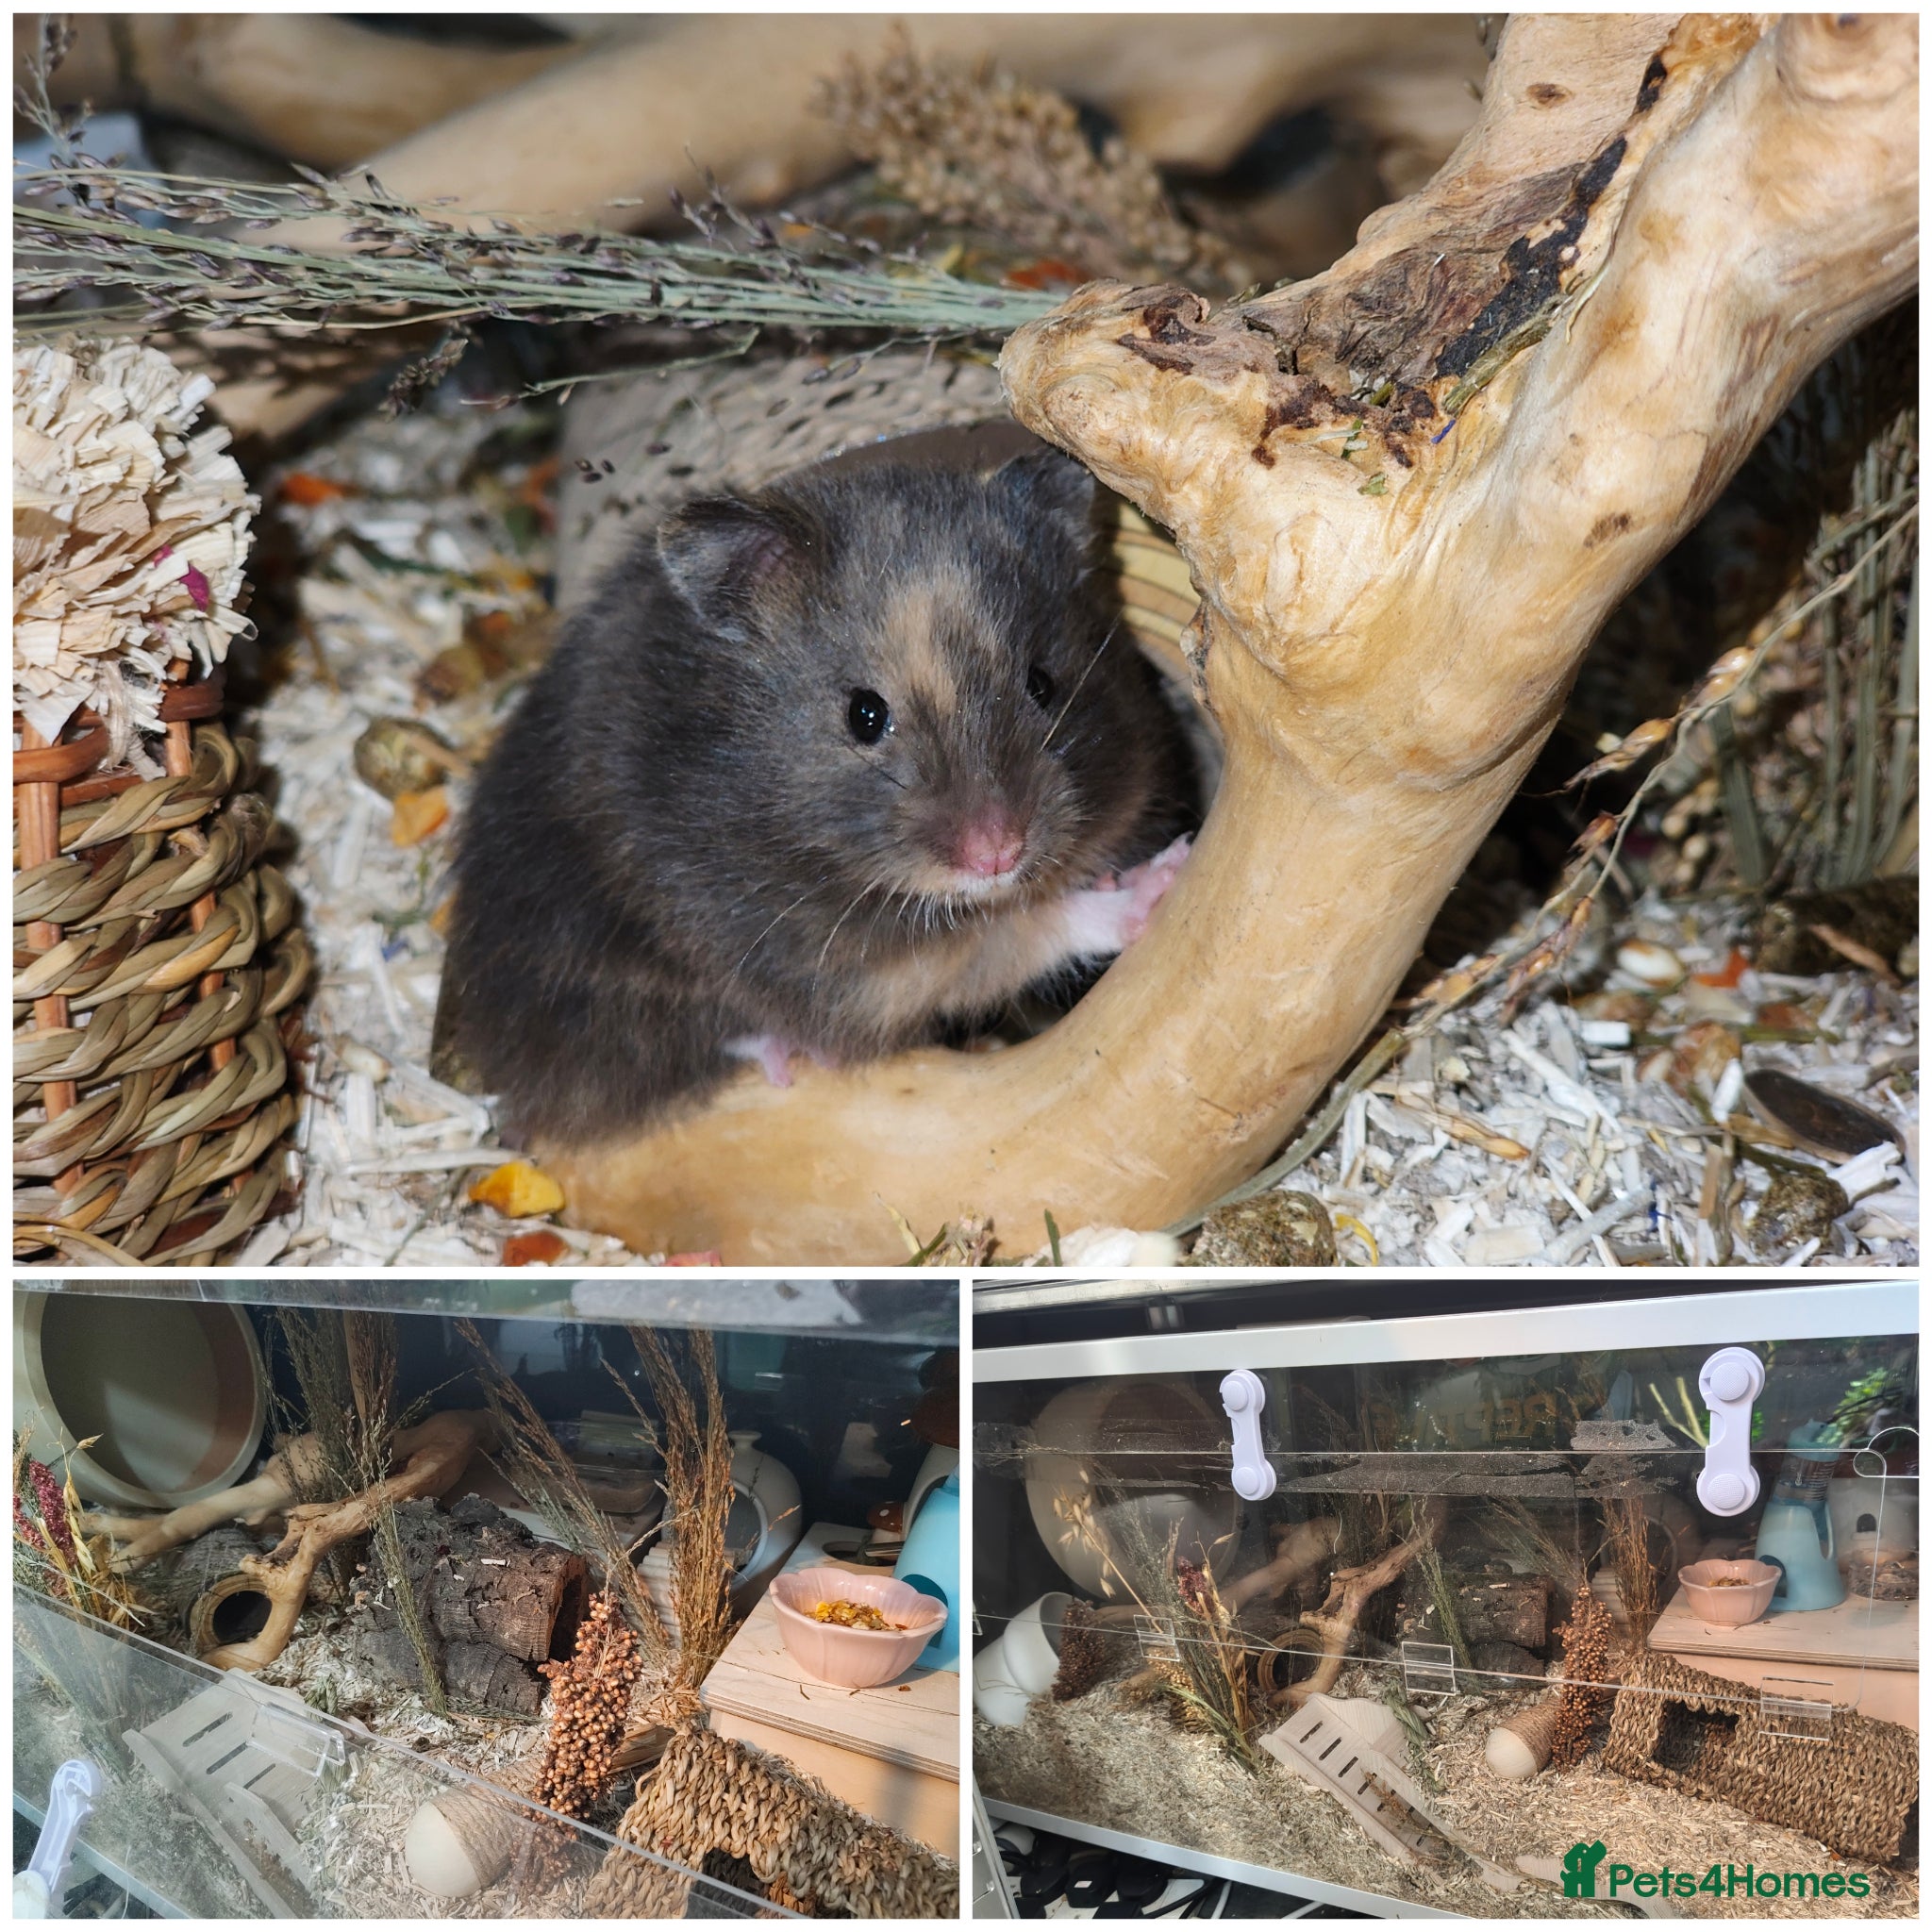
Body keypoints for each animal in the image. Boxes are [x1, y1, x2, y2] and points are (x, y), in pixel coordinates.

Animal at [435, 441, 1197, 1145]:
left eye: (1044, 684)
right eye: (863, 714)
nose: (998, 853)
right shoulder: (847, 969)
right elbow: (1025, 932)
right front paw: (1166, 875)